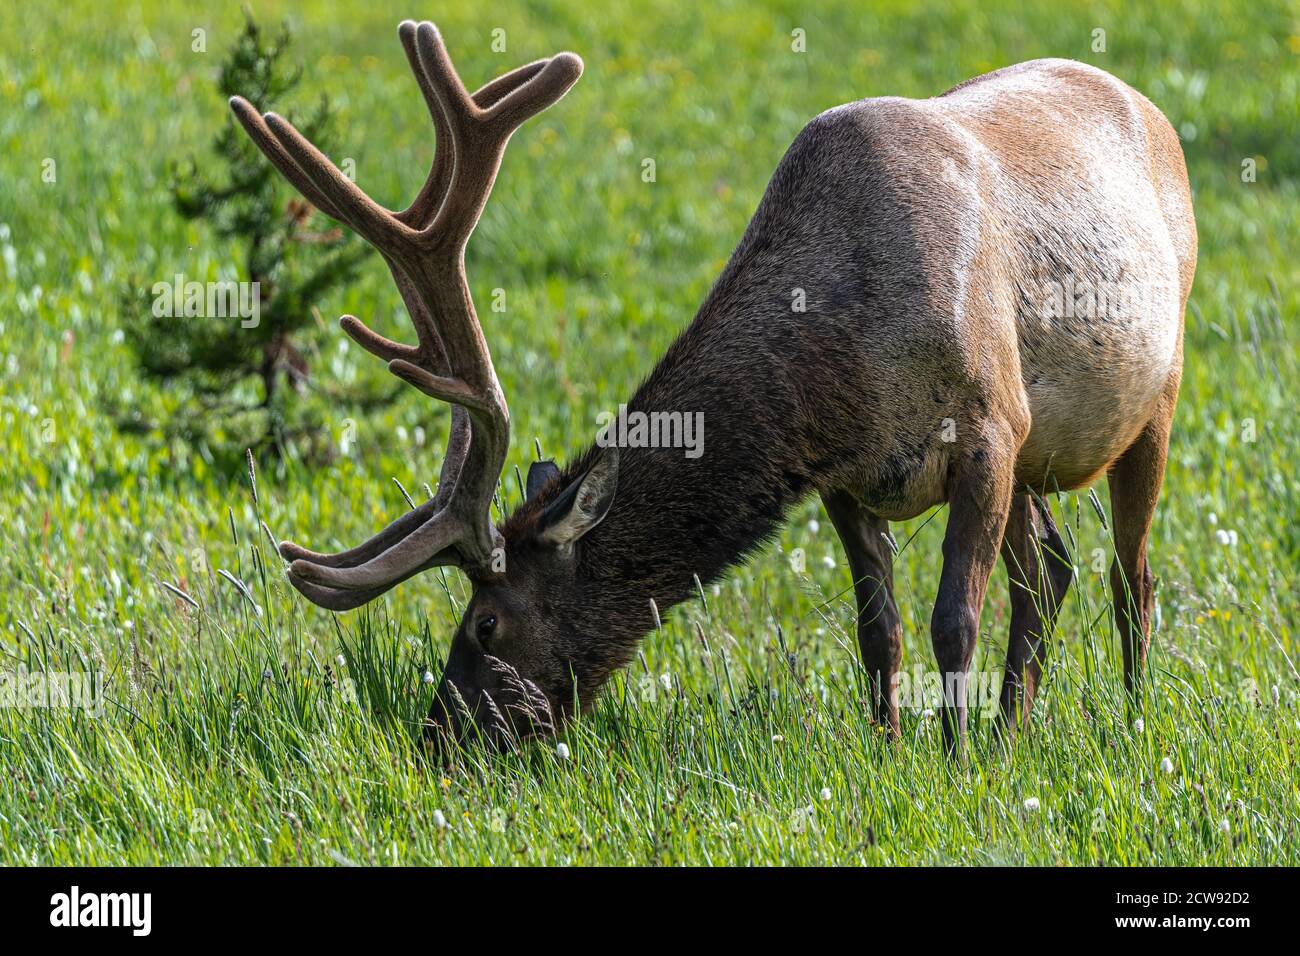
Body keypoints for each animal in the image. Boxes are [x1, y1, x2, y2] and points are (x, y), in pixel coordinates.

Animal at [231, 18, 1196, 759]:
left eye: (487, 624)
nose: (439, 738)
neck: (841, 353)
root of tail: (1153, 110)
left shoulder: (989, 425)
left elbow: (952, 617)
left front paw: (953, 769)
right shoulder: (846, 474)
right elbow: (877, 629)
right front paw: (891, 753)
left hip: (1155, 392)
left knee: (1130, 578)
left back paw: (1131, 721)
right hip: (1041, 455)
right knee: (1053, 571)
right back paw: (1012, 733)